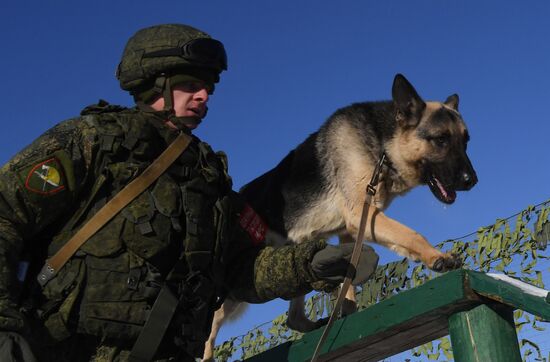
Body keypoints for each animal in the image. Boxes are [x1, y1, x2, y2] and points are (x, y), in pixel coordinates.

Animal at [203, 73, 478, 360]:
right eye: (441, 140)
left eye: (465, 141)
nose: (472, 181)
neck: (382, 145)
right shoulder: (361, 215)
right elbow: (410, 233)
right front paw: (437, 256)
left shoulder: (350, 229)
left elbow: (349, 280)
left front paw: (347, 312)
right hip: (228, 295)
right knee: (209, 332)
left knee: (293, 317)